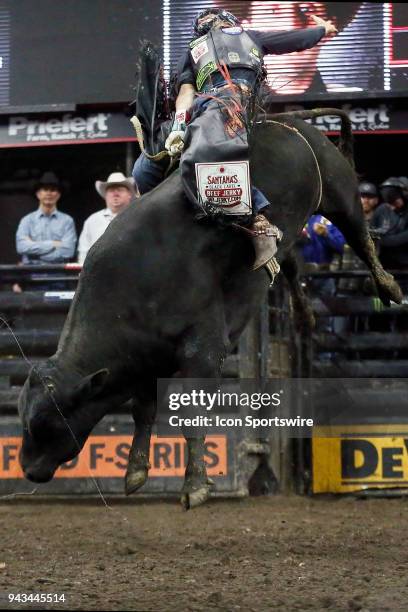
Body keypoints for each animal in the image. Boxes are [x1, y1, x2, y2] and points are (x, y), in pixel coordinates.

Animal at [18, 110, 402, 506]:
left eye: (46, 423)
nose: (28, 469)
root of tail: (288, 120)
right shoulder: (143, 361)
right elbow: (143, 410)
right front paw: (136, 471)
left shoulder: (204, 350)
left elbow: (192, 413)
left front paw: (195, 486)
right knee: (292, 263)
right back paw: (303, 315)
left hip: (340, 192)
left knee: (361, 236)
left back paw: (388, 285)